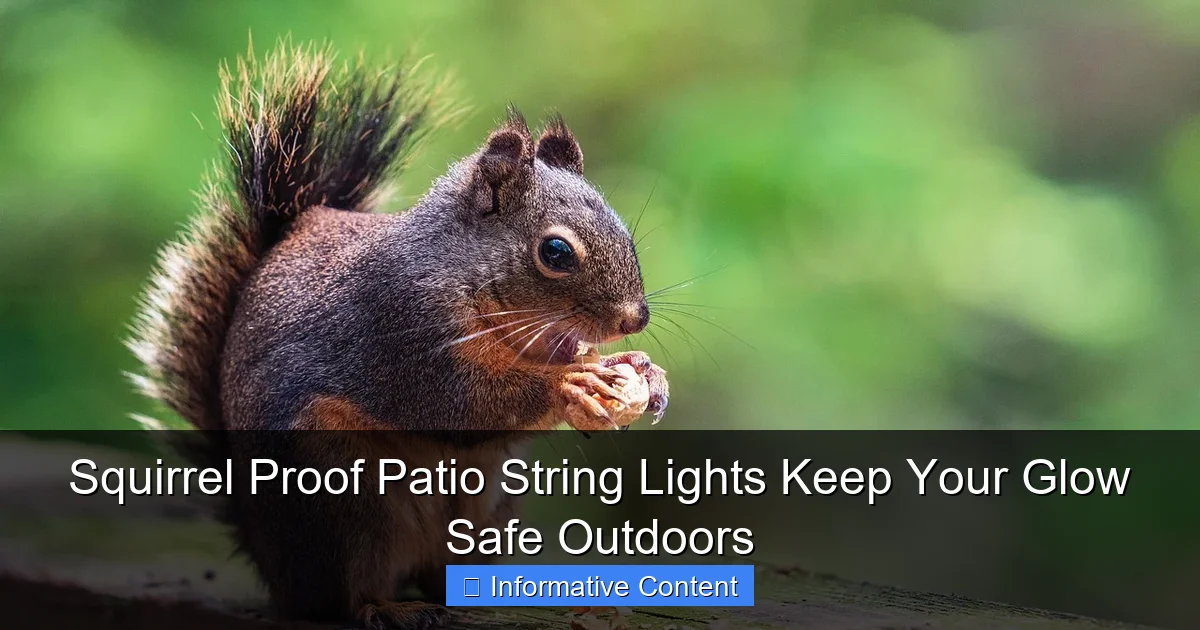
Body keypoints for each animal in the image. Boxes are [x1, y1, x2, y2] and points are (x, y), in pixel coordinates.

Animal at [126, 42, 668, 629]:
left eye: (624, 231)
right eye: (556, 252)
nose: (634, 319)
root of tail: (270, 563)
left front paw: (641, 370)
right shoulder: (399, 329)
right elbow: (461, 403)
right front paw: (569, 383)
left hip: (489, 511)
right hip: (340, 497)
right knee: (344, 595)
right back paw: (389, 608)